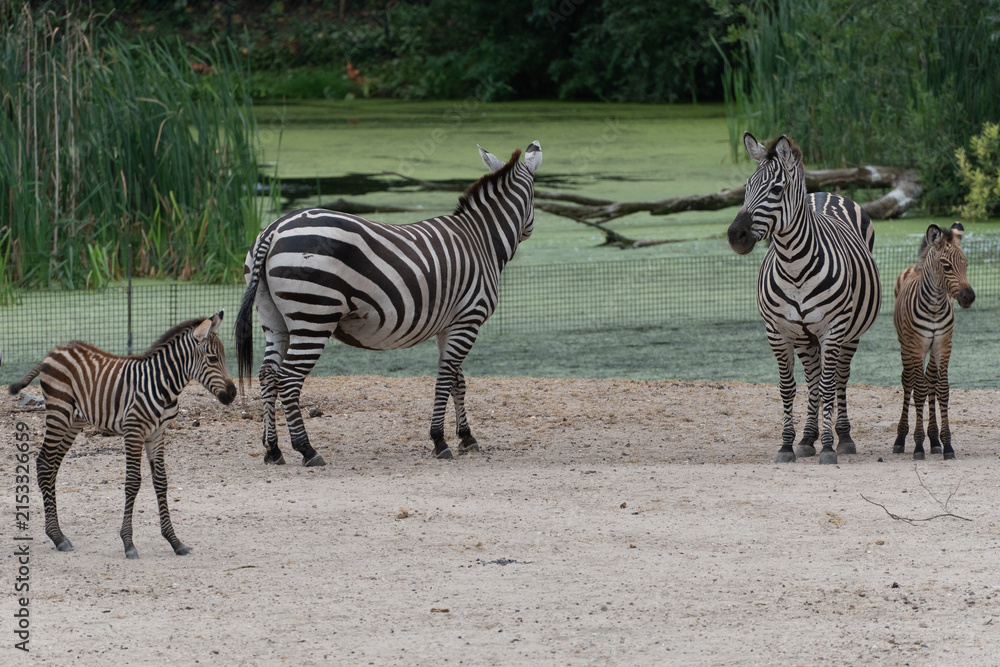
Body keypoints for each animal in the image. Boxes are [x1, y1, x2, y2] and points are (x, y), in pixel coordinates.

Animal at [8, 313, 236, 559]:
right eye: (212, 359)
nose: (233, 394)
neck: (164, 386)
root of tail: (53, 352)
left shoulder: (157, 434)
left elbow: (161, 481)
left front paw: (174, 541)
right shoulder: (134, 431)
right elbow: (133, 482)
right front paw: (128, 543)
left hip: (74, 421)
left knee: (52, 467)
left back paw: (57, 534)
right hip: (58, 413)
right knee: (44, 463)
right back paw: (57, 536)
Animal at [235, 141, 542, 465]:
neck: (481, 240)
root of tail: (274, 229)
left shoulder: (450, 324)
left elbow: (457, 380)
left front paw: (466, 437)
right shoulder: (468, 319)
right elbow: (446, 378)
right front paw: (439, 440)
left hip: (274, 318)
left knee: (268, 375)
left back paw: (273, 449)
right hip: (313, 316)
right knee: (289, 379)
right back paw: (307, 449)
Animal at [727, 132, 882, 464]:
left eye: (776, 189)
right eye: (746, 186)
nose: (735, 236)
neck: (794, 266)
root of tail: (824, 192)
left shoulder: (833, 328)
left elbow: (829, 385)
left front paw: (829, 447)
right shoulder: (778, 331)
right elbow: (789, 388)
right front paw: (787, 445)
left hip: (849, 333)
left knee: (839, 378)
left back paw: (842, 437)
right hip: (804, 337)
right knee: (813, 380)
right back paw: (808, 438)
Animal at [892, 223, 975, 460]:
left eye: (965, 264)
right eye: (946, 266)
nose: (970, 297)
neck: (936, 306)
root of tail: (914, 267)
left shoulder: (943, 345)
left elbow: (942, 389)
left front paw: (946, 444)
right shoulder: (917, 346)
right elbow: (919, 390)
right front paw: (919, 445)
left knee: (930, 380)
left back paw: (934, 439)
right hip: (905, 346)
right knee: (908, 381)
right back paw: (901, 438)